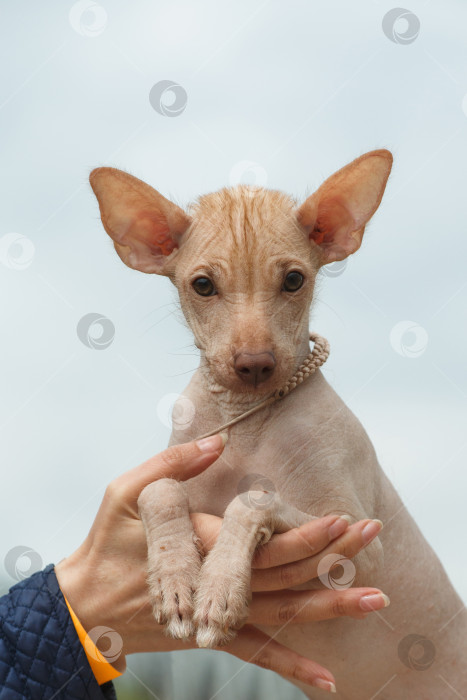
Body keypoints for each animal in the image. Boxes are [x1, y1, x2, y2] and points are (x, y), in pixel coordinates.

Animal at [89, 150, 466, 696]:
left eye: (293, 280)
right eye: (202, 285)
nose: (254, 364)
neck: (247, 420)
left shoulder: (357, 543)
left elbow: (254, 499)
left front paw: (219, 588)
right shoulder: (178, 464)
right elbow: (159, 489)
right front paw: (175, 579)